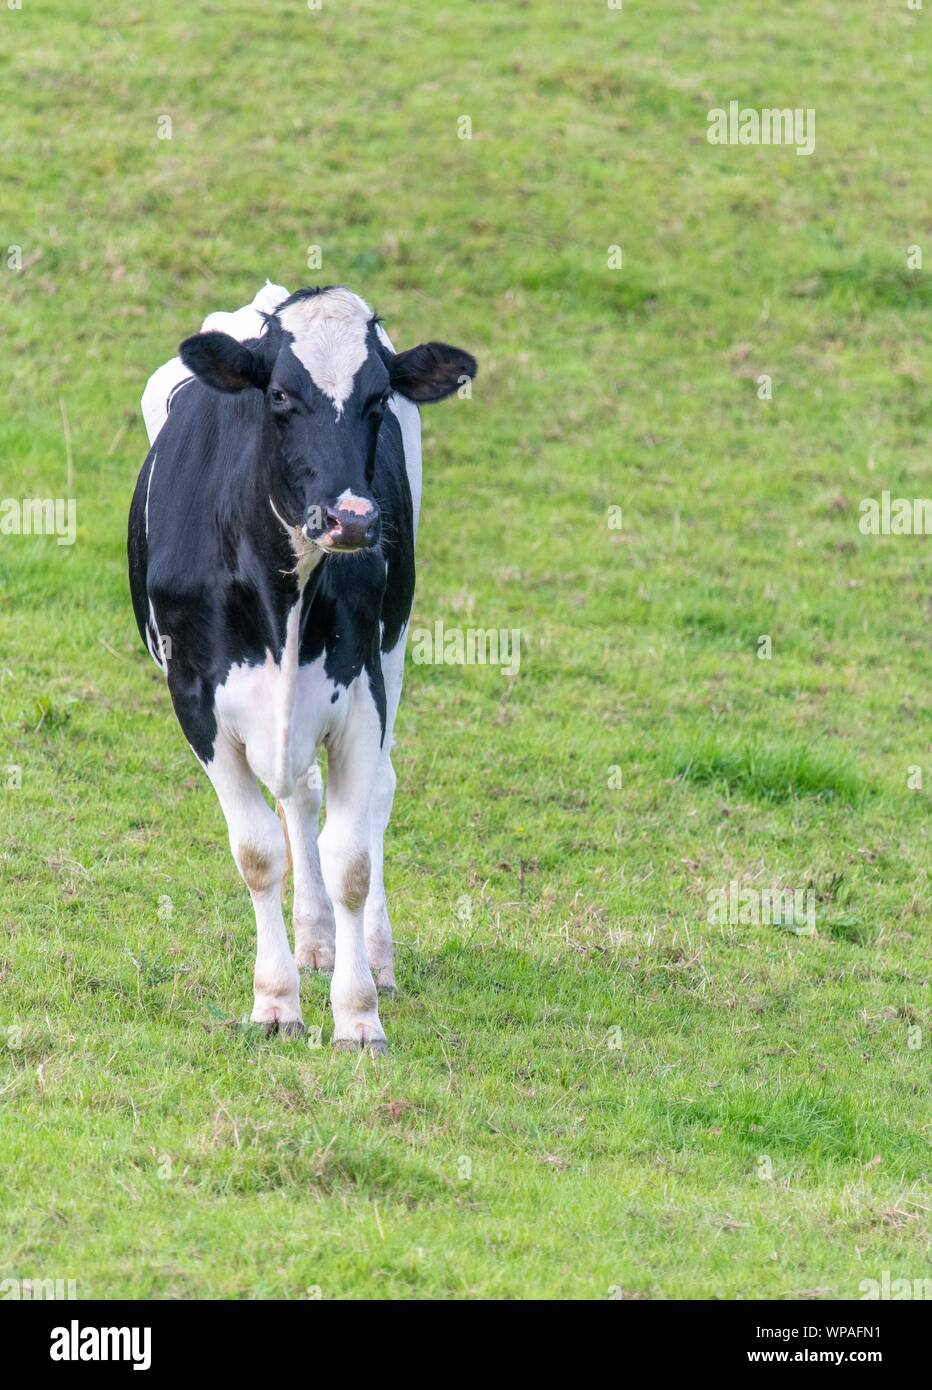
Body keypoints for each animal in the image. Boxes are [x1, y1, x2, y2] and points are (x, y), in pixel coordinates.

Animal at [128, 284, 476, 1052]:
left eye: (378, 397)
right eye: (282, 394)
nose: (353, 519)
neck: (280, 590)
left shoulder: (363, 698)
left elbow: (350, 857)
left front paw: (358, 1013)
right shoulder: (195, 704)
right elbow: (259, 852)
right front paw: (276, 1002)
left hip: (394, 646)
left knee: (372, 796)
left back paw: (370, 953)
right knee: (301, 798)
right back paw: (314, 940)